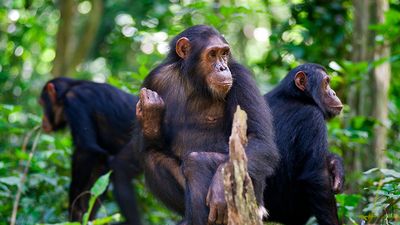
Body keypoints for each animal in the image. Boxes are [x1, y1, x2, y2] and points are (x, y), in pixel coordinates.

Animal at [38, 76, 144, 224]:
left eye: (42, 104)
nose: (42, 119)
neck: (67, 91)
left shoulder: (74, 102)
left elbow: (86, 151)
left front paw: (74, 207)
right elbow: (99, 168)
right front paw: (83, 216)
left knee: (119, 172)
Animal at [136, 24, 280, 225]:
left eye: (224, 53)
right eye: (212, 54)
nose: (222, 67)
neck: (194, 81)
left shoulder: (242, 78)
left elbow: (259, 139)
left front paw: (219, 186)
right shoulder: (154, 80)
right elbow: (152, 145)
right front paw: (151, 113)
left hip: (253, 196)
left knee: (197, 161)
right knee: (152, 157)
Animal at [264, 63, 346, 225]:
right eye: (326, 83)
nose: (333, 93)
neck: (295, 96)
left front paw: (336, 166)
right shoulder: (313, 118)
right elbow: (317, 177)